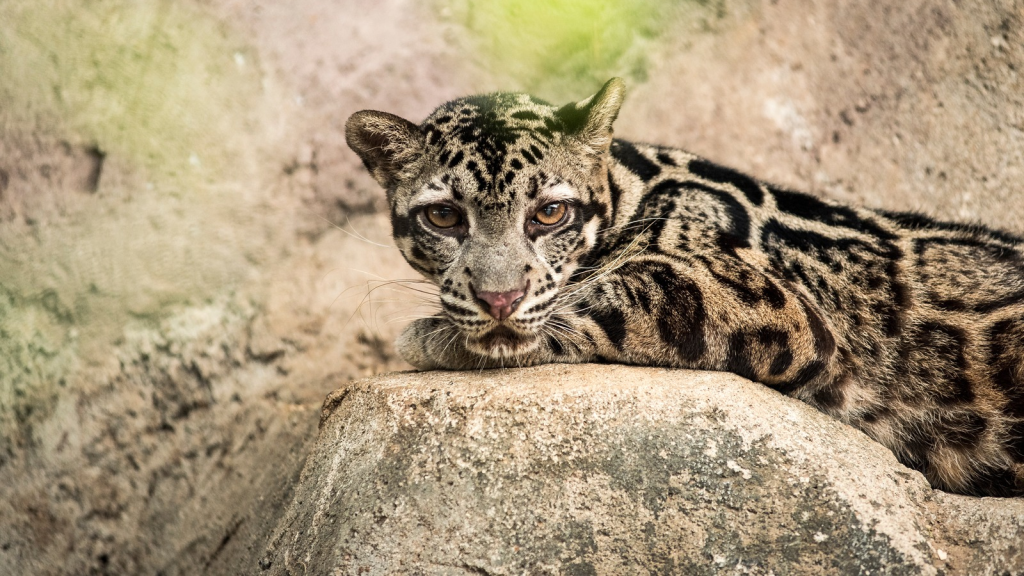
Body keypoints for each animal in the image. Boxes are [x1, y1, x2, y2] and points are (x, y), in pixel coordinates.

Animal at [348, 78, 1024, 496]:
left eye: (550, 213)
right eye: (443, 217)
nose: (498, 300)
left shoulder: (768, 301)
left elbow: (609, 294)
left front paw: (436, 335)